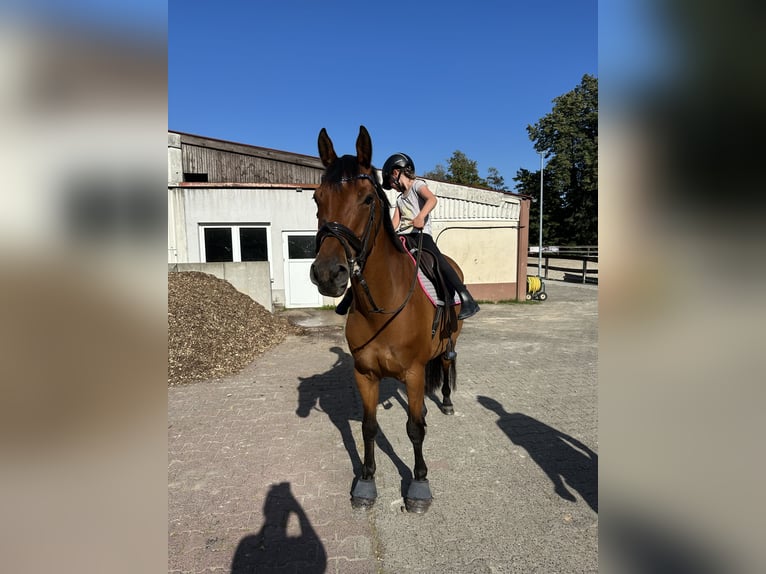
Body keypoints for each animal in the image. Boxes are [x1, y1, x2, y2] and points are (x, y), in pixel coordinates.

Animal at [309, 125, 465, 513]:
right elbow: (369, 427)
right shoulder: (365, 374)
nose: (327, 274)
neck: (383, 305)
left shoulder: (412, 372)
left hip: (451, 340)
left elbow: (415, 429)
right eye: (317, 199)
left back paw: (447, 402)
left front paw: (419, 484)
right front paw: (366, 482)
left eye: (367, 199)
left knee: (446, 363)